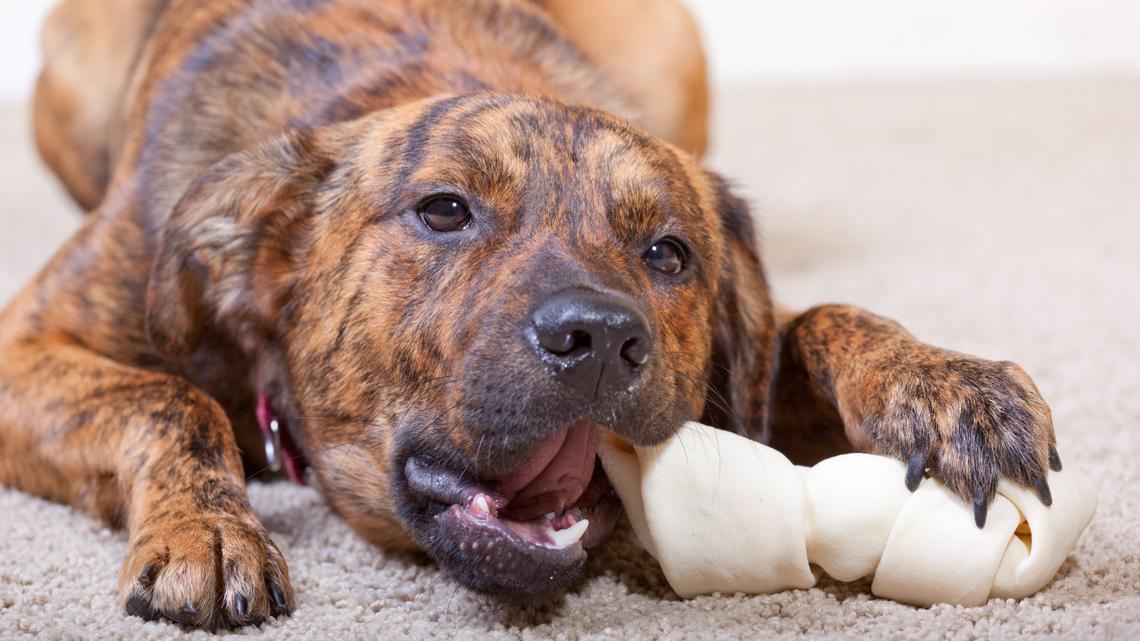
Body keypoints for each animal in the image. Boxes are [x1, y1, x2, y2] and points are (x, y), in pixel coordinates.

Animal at [0, 0, 1057, 629]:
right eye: (443, 210)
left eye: (668, 252)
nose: (600, 336)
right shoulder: (25, 347)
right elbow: (168, 402)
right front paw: (206, 528)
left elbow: (818, 316)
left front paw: (946, 383)